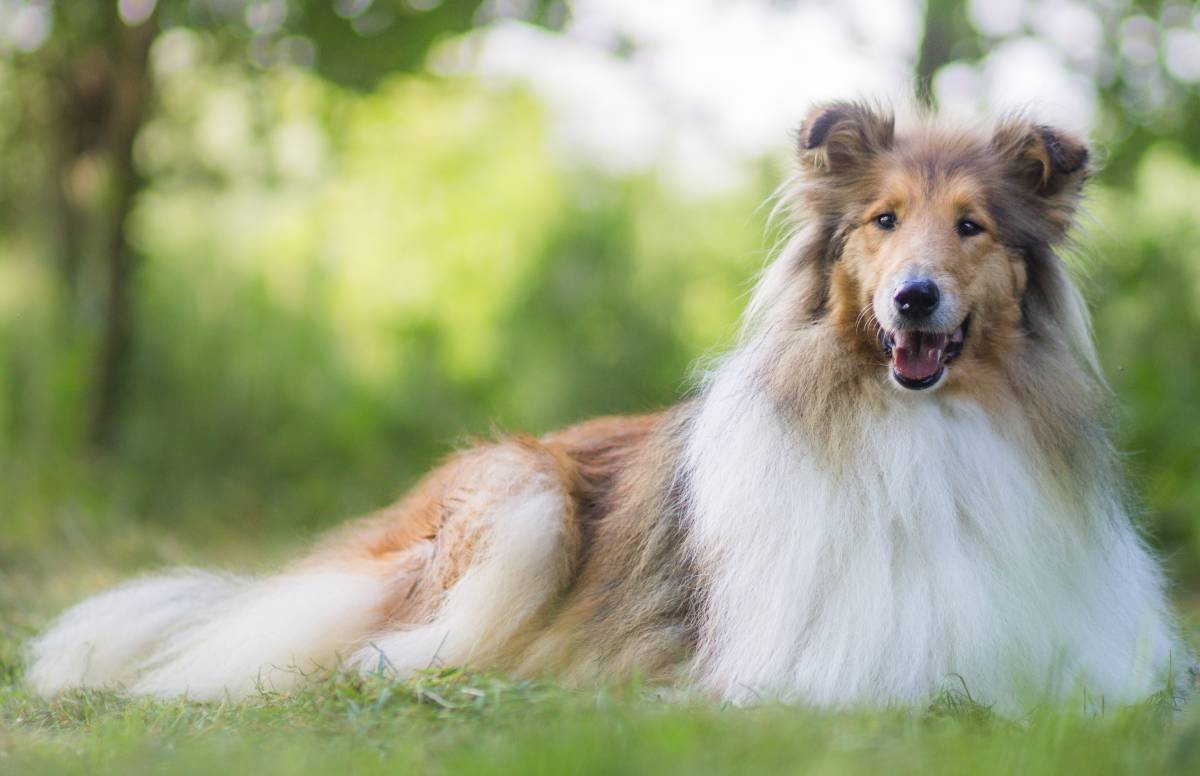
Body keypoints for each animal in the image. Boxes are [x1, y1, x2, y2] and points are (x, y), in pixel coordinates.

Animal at [28, 104, 1190, 714]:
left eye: (972, 227)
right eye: (884, 221)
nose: (914, 298)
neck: (922, 428)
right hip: (523, 499)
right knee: (362, 649)